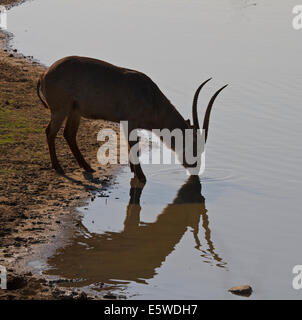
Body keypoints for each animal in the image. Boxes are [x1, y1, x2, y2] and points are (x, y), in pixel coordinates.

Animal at [36, 56, 226, 181]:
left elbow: (131, 146)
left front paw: (135, 171)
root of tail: (45, 73)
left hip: (74, 112)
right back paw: (59, 167)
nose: (195, 171)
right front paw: (141, 177)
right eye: (195, 146)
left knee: (69, 134)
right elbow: (134, 146)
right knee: (50, 132)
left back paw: (87, 167)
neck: (150, 96)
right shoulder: (130, 123)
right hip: (60, 110)